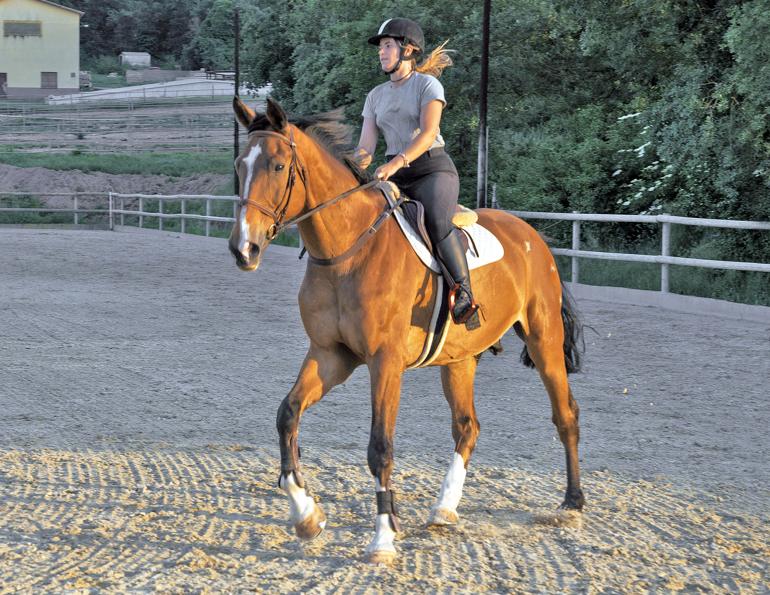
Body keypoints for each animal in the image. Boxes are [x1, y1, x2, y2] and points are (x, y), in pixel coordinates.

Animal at [228, 97, 585, 564]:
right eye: (240, 164)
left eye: (277, 165)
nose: (243, 249)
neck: (348, 250)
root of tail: (532, 235)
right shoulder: (330, 354)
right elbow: (286, 415)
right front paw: (307, 515)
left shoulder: (385, 362)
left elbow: (380, 447)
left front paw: (382, 539)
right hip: (458, 359)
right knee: (467, 427)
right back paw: (444, 509)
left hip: (544, 340)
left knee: (565, 415)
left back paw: (572, 503)